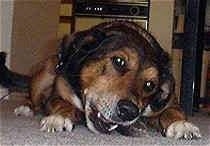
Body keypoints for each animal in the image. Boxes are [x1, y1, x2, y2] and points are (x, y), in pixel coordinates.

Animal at [0, 20, 201, 139]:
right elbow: (61, 104)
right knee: (34, 99)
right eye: (119, 61)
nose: (129, 111)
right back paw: (26, 108)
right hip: (46, 71)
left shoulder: (168, 103)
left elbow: (173, 111)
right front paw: (58, 118)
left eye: (150, 85)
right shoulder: (58, 94)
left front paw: (181, 125)